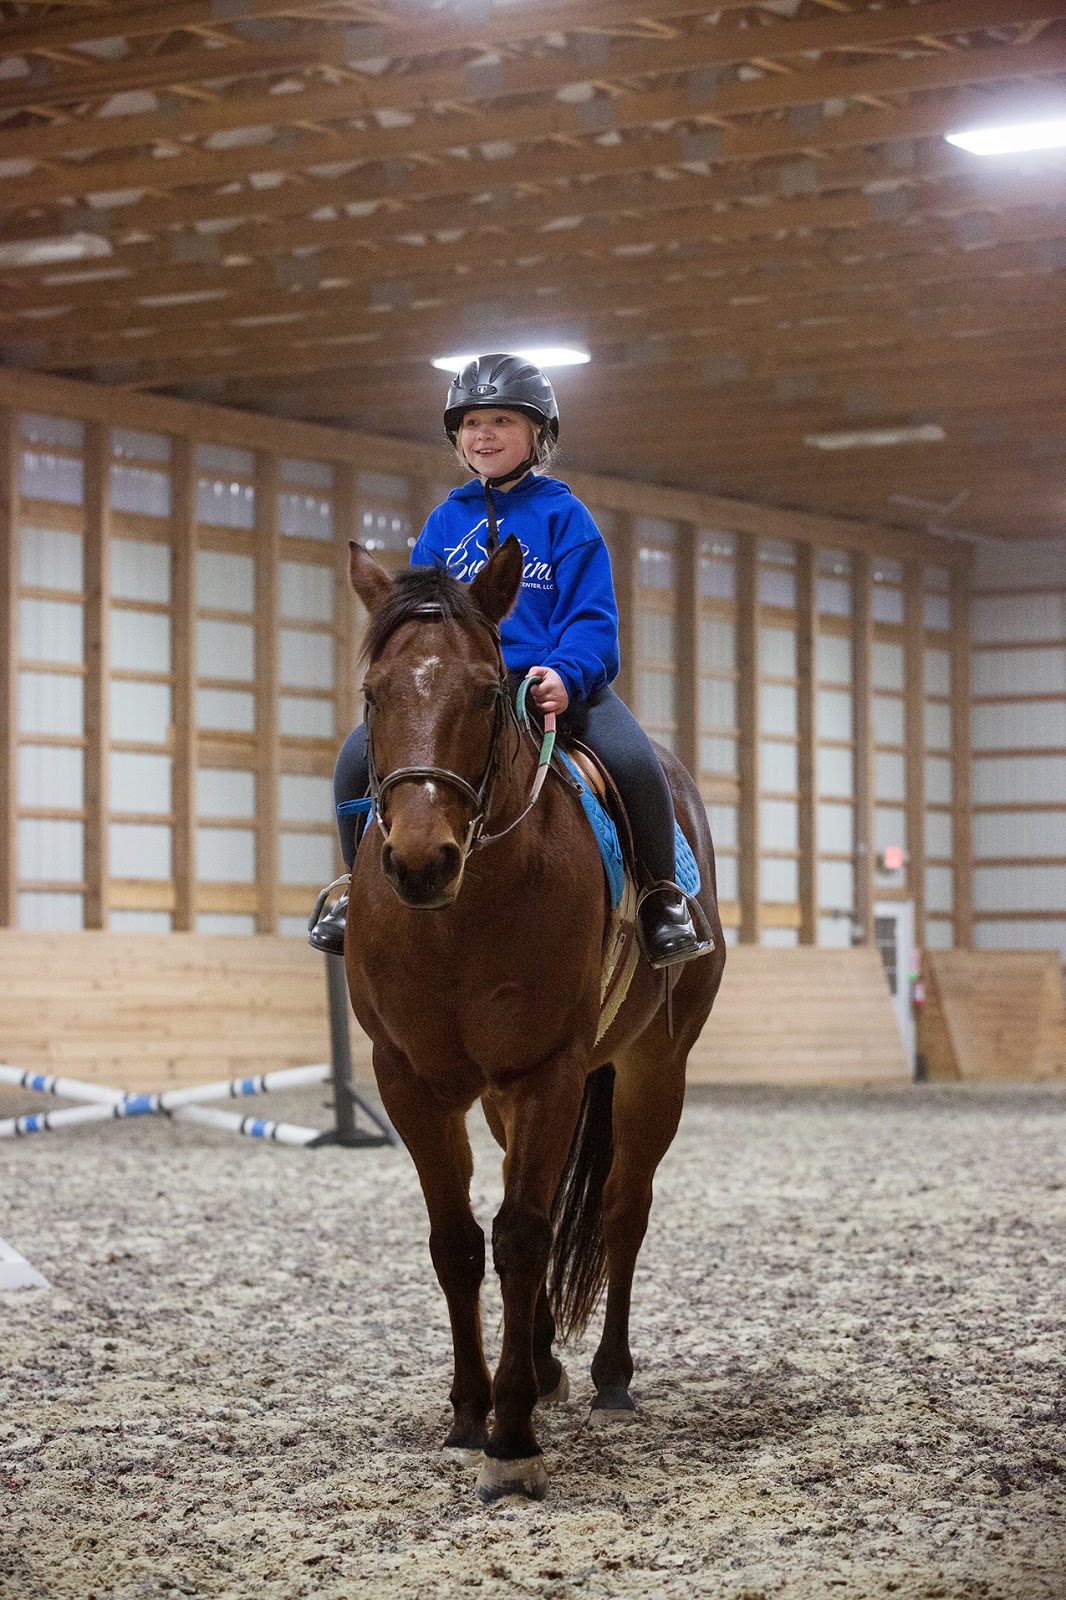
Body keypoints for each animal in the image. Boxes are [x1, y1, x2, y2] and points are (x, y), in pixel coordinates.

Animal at [343, 535, 726, 1502]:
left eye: (487, 690)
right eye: (374, 694)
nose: (420, 860)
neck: (462, 913)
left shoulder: (549, 1070)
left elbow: (520, 1235)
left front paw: (510, 1439)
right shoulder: (411, 1080)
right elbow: (457, 1242)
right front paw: (468, 1412)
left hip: (650, 1072)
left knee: (623, 1209)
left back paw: (609, 1377)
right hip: (502, 1098)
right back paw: (548, 1361)